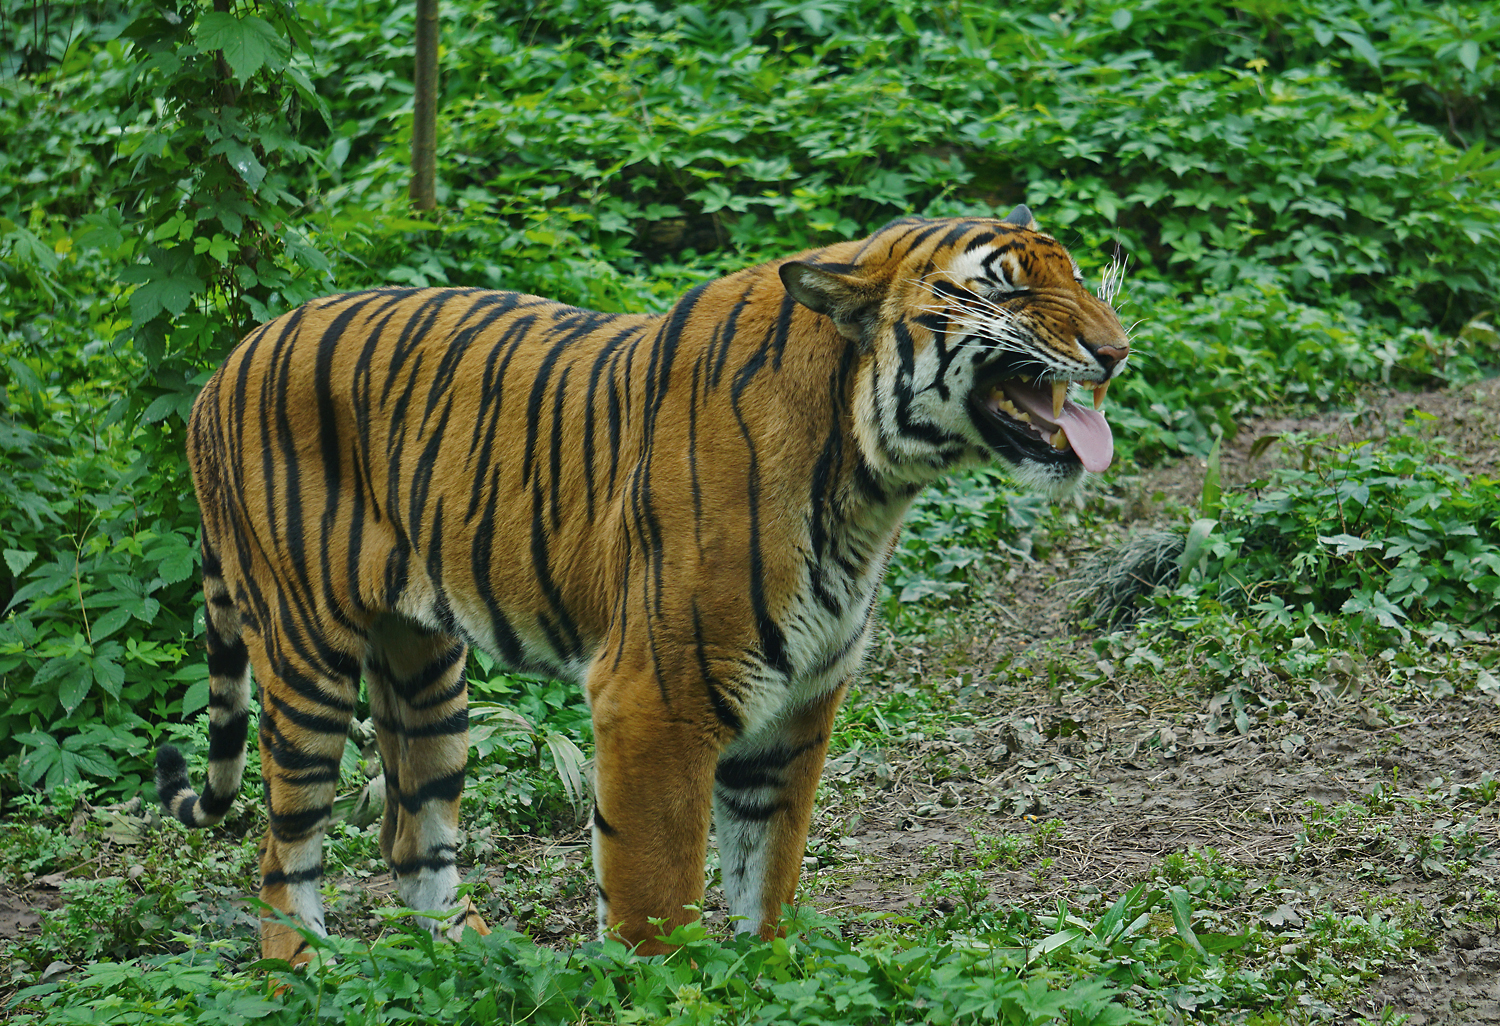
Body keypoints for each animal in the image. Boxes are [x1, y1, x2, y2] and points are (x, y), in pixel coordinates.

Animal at [154, 206, 1129, 962]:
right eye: (1007, 290)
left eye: (1078, 277)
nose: (1117, 351)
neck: (867, 481)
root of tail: (223, 365)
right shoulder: (656, 698)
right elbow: (657, 895)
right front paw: (660, 991)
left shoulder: (799, 707)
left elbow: (766, 875)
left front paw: (770, 980)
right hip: (306, 656)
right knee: (283, 853)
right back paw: (304, 974)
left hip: (425, 670)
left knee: (411, 835)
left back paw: (479, 963)